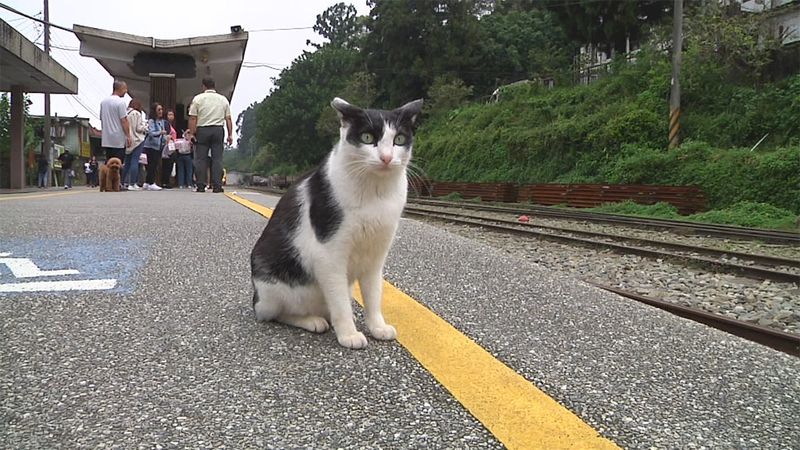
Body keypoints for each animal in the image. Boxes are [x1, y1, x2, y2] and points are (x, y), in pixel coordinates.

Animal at [252, 96, 424, 348]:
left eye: (399, 139)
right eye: (367, 138)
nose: (386, 158)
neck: (375, 193)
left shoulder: (376, 255)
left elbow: (374, 295)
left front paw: (378, 327)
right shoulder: (329, 255)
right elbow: (340, 302)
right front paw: (349, 334)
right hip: (272, 289)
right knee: (276, 313)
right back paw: (312, 321)